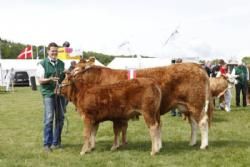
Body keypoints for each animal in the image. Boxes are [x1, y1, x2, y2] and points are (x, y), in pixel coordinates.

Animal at [72, 58, 213, 149]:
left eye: (78, 69)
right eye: (74, 68)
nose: (68, 74)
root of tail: (197, 66)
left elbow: (111, 130)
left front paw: (113, 146)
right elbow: (99, 130)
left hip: (196, 103)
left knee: (202, 121)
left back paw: (203, 145)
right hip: (186, 106)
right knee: (193, 123)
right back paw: (192, 142)